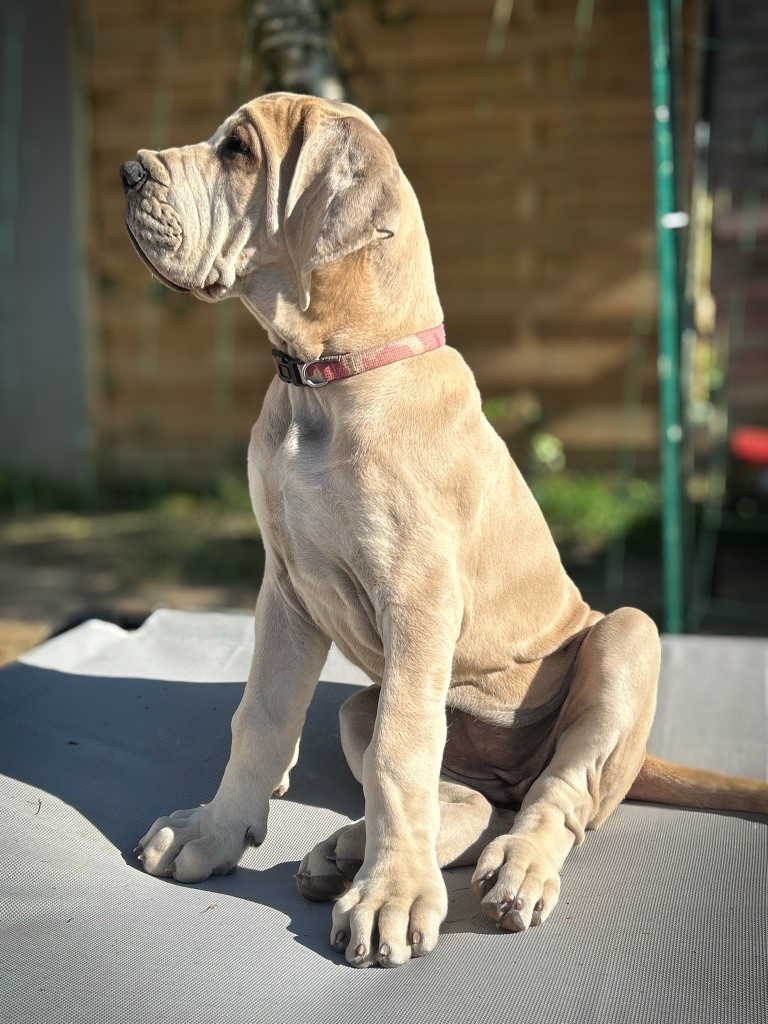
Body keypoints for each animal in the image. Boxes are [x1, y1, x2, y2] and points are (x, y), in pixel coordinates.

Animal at [123, 93, 768, 969]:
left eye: (238, 152)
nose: (128, 171)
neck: (327, 379)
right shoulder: (286, 589)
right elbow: (260, 716)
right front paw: (215, 831)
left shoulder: (418, 598)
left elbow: (401, 747)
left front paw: (392, 898)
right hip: (363, 709)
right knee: (457, 794)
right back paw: (351, 849)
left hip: (625, 638)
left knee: (554, 794)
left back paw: (513, 865)